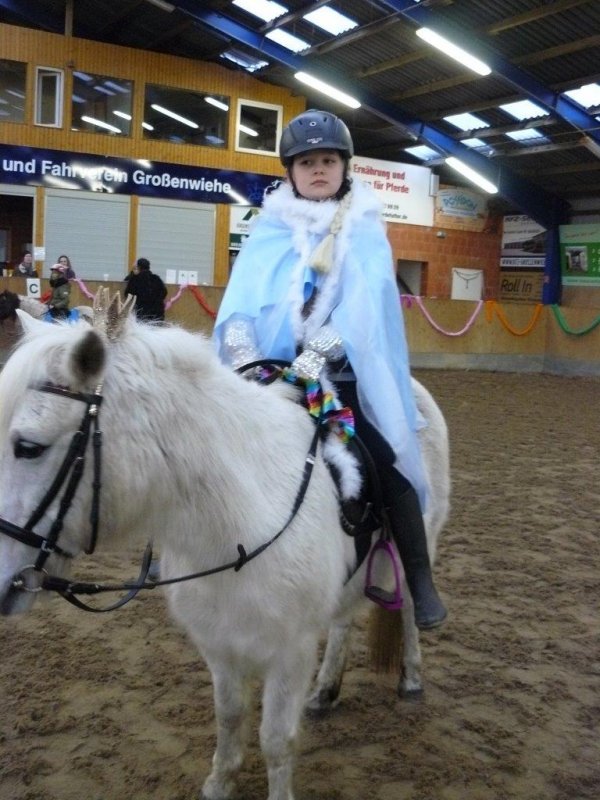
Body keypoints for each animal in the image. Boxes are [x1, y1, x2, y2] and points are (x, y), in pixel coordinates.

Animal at [0, 295, 450, 800]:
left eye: (29, 447)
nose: (3, 580)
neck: (235, 527)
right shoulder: (219, 643)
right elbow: (230, 718)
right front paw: (219, 784)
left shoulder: (290, 650)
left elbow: (276, 739)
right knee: (343, 620)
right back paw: (326, 692)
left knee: (408, 602)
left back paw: (410, 677)